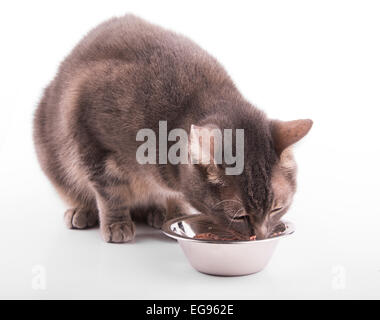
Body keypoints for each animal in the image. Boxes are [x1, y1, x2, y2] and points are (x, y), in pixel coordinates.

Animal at [33, 13, 312, 241]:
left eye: (277, 208)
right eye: (240, 216)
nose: (261, 236)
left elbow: (173, 197)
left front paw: (173, 213)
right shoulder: (90, 138)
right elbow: (110, 191)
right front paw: (116, 223)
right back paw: (82, 211)